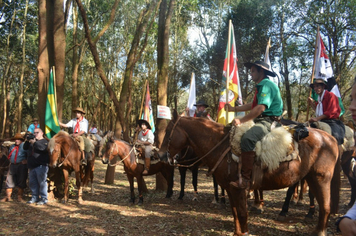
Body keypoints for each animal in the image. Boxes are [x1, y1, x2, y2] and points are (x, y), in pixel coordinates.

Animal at [158, 112, 340, 236]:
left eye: (169, 131)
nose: (160, 155)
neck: (220, 145)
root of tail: (331, 139)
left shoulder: (239, 189)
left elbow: (242, 213)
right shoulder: (230, 189)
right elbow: (235, 213)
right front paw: (237, 232)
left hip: (321, 178)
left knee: (325, 206)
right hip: (311, 178)